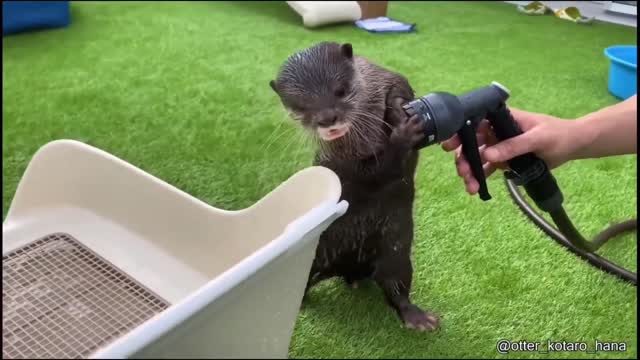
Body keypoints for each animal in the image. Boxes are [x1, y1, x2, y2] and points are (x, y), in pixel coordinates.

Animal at [268, 42, 440, 332]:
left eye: (341, 89)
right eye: (300, 106)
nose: (328, 118)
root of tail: (349, 267)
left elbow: (400, 90)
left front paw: (397, 106)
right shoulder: (343, 162)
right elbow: (376, 171)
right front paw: (402, 136)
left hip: (397, 253)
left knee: (396, 286)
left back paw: (417, 317)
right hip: (315, 255)